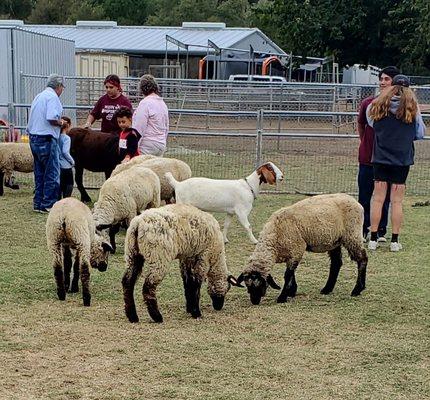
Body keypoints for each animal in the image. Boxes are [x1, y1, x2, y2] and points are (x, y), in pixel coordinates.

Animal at [237, 193, 368, 304]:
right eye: (247, 286)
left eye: (259, 284)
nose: (254, 302)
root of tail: (355, 202)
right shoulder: (292, 252)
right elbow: (291, 273)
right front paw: (292, 291)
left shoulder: (297, 249)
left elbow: (288, 274)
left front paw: (282, 297)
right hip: (335, 240)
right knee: (336, 263)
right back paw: (327, 289)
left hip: (352, 234)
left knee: (362, 259)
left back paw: (357, 289)